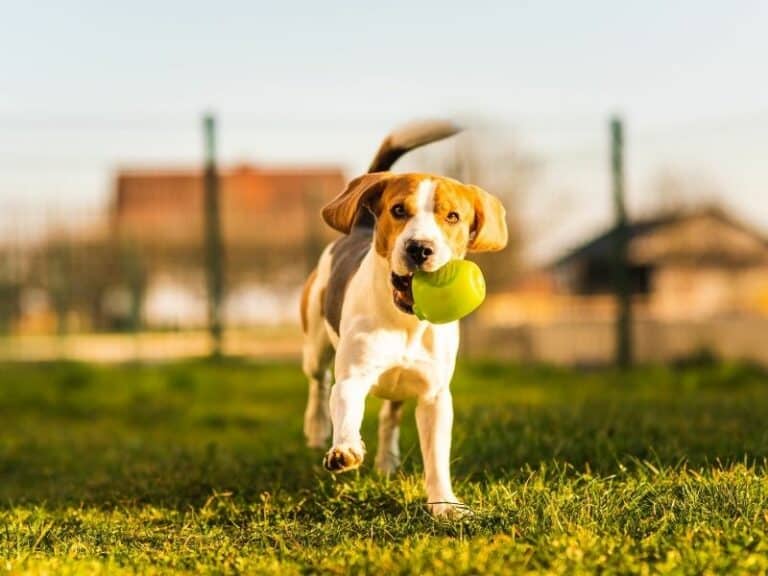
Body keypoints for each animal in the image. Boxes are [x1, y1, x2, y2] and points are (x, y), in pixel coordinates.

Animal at [302, 121, 510, 516]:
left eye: (452, 216)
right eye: (398, 210)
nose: (419, 248)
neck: (408, 323)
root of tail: (359, 227)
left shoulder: (434, 396)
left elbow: (436, 458)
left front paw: (445, 505)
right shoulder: (353, 376)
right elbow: (346, 405)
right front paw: (345, 449)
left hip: (398, 387)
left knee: (389, 419)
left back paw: (386, 462)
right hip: (315, 343)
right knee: (318, 384)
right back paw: (316, 429)